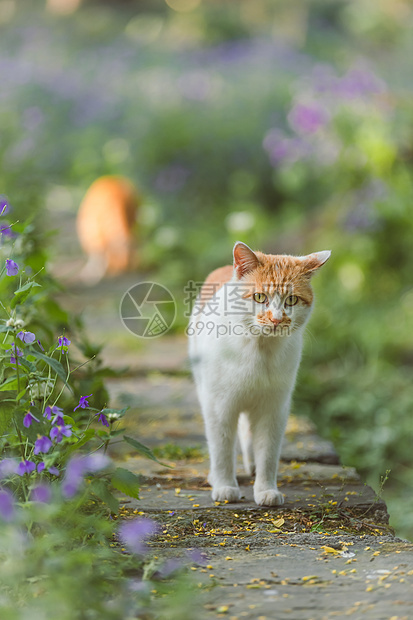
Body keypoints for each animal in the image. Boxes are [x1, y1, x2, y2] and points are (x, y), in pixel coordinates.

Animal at [188, 240, 330, 506]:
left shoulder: (273, 409)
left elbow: (268, 453)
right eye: (260, 297)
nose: (276, 319)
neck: (259, 352)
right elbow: (222, 450)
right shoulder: (219, 407)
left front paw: (266, 490)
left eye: (291, 300)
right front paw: (225, 486)